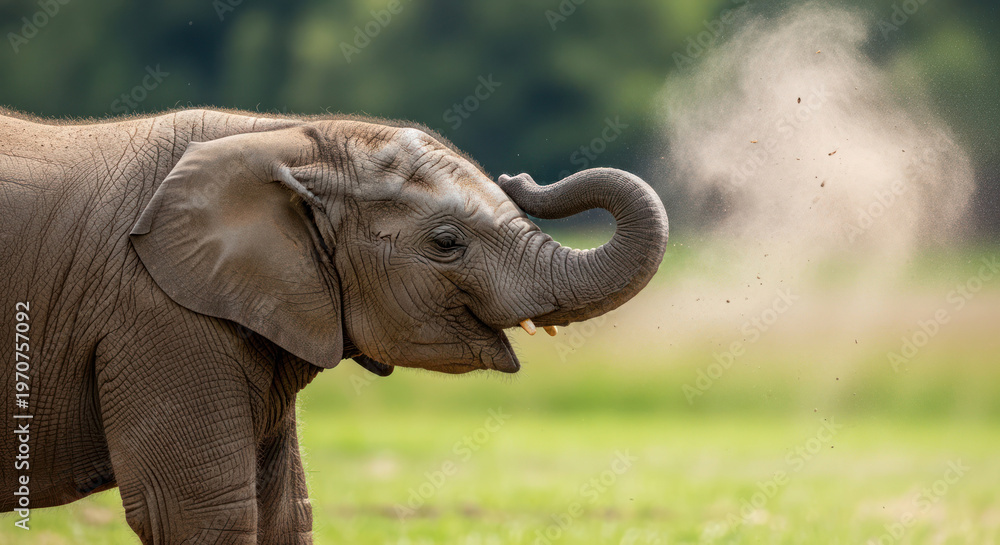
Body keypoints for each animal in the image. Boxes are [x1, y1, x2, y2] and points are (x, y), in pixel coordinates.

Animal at [0, 107, 667, 543]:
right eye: (446, 244)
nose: (520, 177)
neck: (288, 138)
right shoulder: (156, 313)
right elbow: (200, 510)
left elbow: (284, 510)